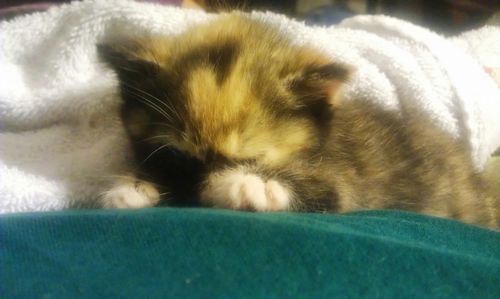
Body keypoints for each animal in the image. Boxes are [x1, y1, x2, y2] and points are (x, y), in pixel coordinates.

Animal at [98, 13, 500, 230]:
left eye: (250, 159)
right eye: (176, 157)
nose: (194, 193)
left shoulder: (344, 178)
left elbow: (321, 189)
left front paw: (249, 184)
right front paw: (132, 188)